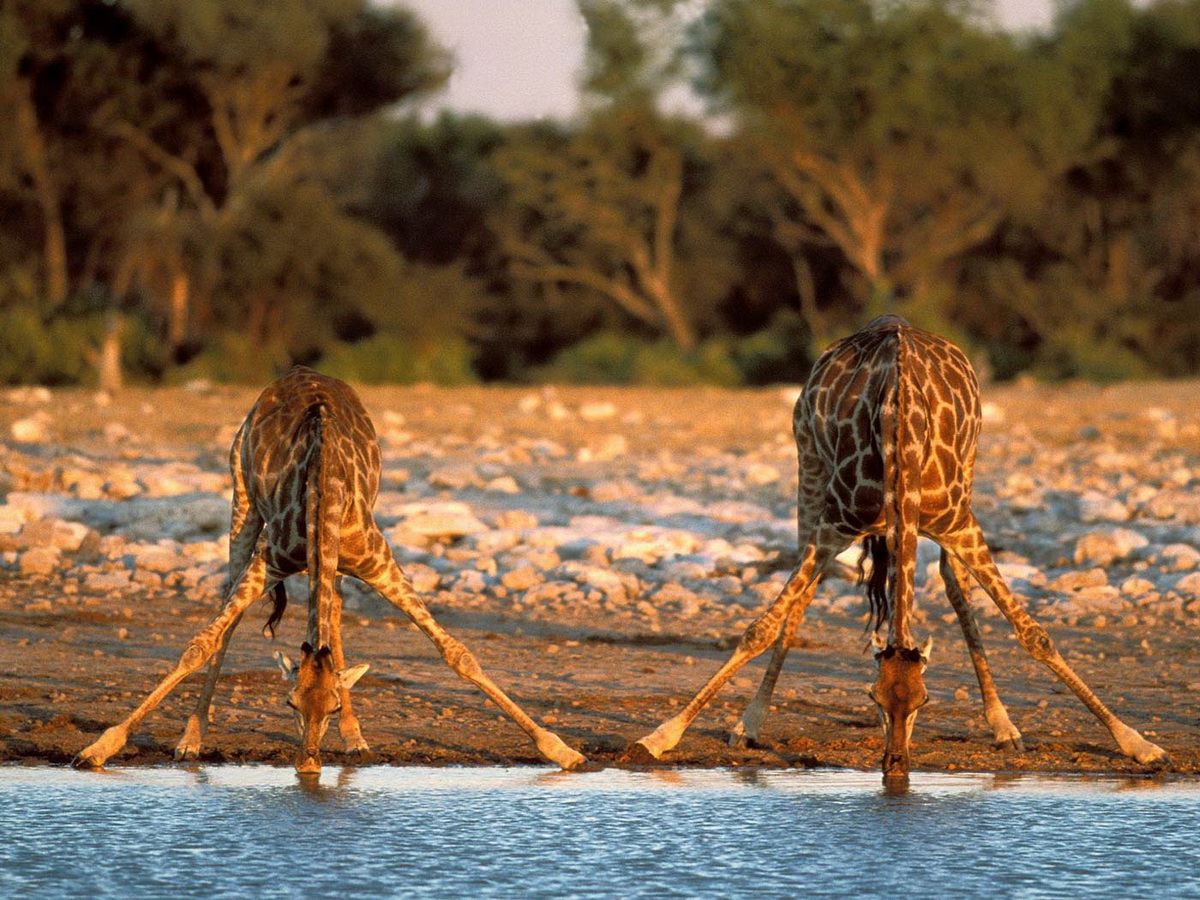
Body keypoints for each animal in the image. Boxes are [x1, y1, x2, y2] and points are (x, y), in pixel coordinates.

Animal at [70, 367, 585, 777]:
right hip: (241, 498)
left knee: (333, 614)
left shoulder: (379, 561)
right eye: (289, 702)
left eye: (332, 705)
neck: (323, 490)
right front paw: (98, 749)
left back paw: (356, 738)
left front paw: (562, 751)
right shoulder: (270, 559)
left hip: (331, 558)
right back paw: (191, 739)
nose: (309, 764)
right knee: (231, 610)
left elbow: (458, 654)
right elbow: (200, 644)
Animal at [624, 314, 1166, 777]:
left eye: (924, 700)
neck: (900, 435)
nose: (896, 766)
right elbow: (762, 626)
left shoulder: (960, 524)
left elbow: (1034, 635)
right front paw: (661, 735)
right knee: (803, 594)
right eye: (873, 698)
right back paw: (750, 723)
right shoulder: (832, 525)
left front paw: (1138, 743)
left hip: (969, 473)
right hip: (809, 468)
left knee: (952, 581)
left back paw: (1004, 726)